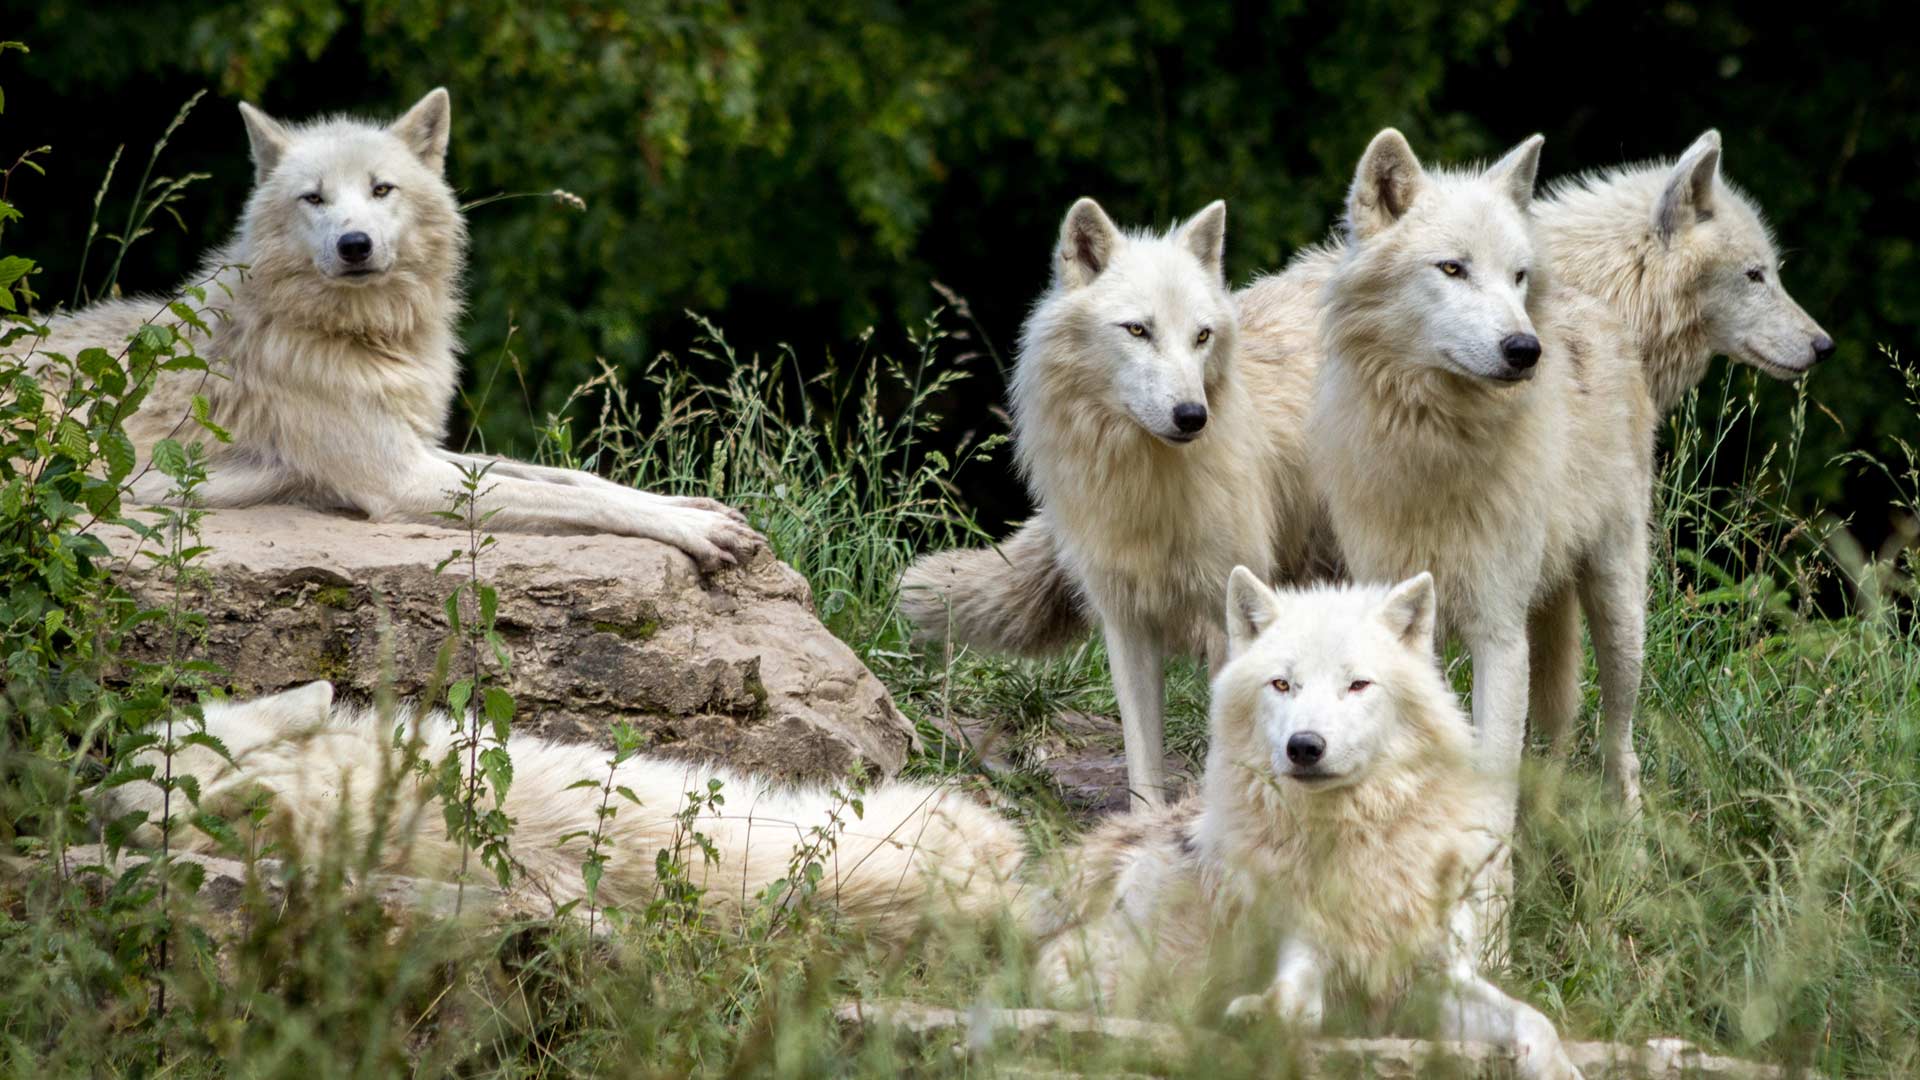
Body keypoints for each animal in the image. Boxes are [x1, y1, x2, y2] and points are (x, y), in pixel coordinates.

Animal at [7, 90, 760, 572]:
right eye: (314, 198)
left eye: (381, 190)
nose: (355, 245)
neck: (364, 340)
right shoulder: (402, 480)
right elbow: (559, 494)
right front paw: (694, 529)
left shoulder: (422, 449)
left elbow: (573, 478)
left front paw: (693, 505)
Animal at [1029, 568, 1582, 1068]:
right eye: (1282, 684)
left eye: (1357, 685)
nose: (1305, 746)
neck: (1357, 841)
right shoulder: (1306, 951)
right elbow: (1292, 1000)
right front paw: (1259, 1019)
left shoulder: (1438, 979)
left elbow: (1536, 1021)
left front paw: (1557, 1066)